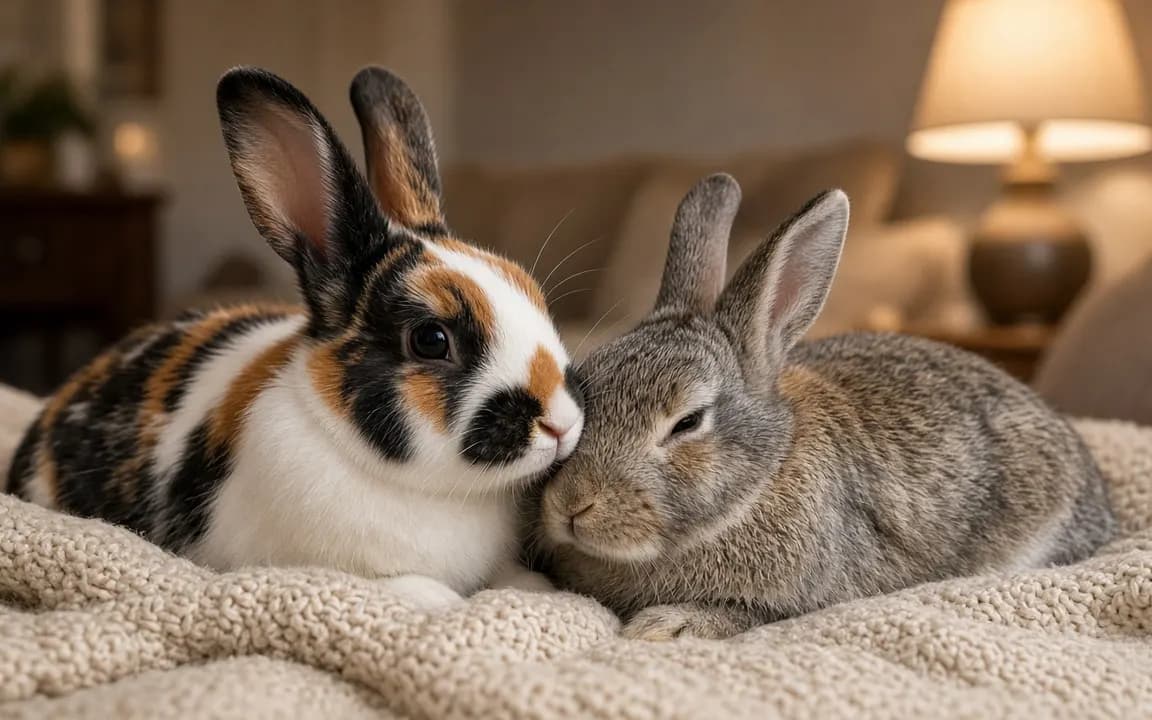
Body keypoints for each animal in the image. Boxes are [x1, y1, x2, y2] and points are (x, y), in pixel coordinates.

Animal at [535, 174, 1116, 640]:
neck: (763, 478)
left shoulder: (814, 598)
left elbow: (746, 614)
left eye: (688, 422)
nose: (572, 505)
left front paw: (665, 626)